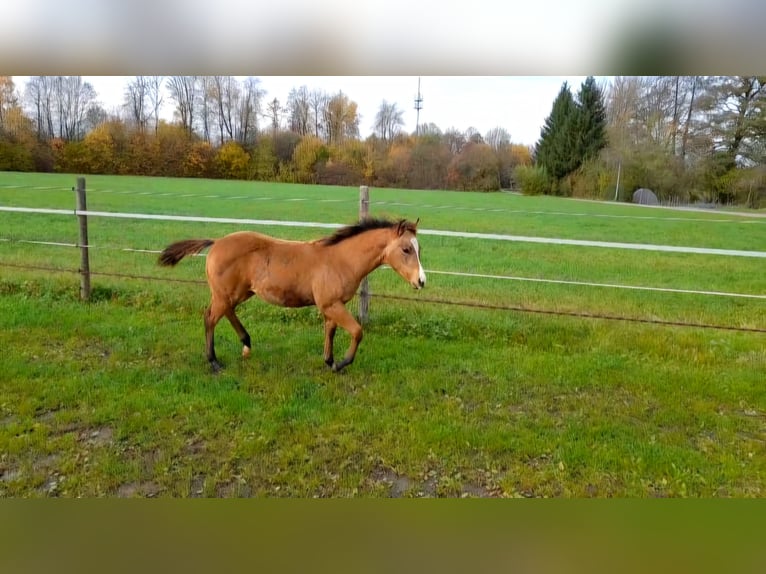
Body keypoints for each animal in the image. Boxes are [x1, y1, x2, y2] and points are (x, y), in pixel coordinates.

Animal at [158, 217, 425, 373]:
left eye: (418, 248)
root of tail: (216, 242)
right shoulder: (332, 304)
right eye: (406, 249)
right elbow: (358, 331)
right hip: (226, 294)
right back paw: (214, 361)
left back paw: (246, 344)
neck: (340, 259)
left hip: (239, 293)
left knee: (227, 313)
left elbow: (330, 331)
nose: (421, 281)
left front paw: (329, 362)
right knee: (210, 318)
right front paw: (341, 363)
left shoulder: (331, 305)